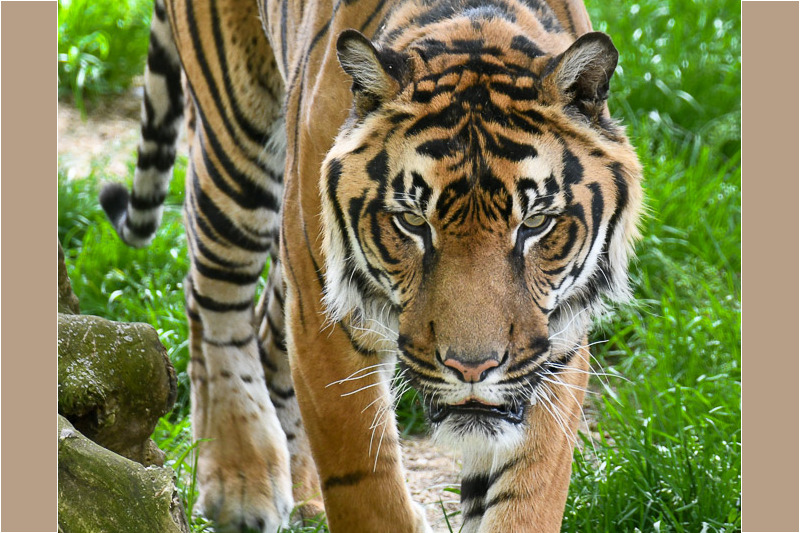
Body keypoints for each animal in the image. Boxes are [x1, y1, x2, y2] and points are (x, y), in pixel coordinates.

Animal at [100, 0, 643, 531]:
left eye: (535, 223)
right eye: (412, 221)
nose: (472, 368)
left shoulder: (555, 347)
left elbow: (527, 495)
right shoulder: (326, 323)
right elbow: (368, 490)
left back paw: (304, 496)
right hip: (236, 140)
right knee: (212, 303)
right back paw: (241, 484)